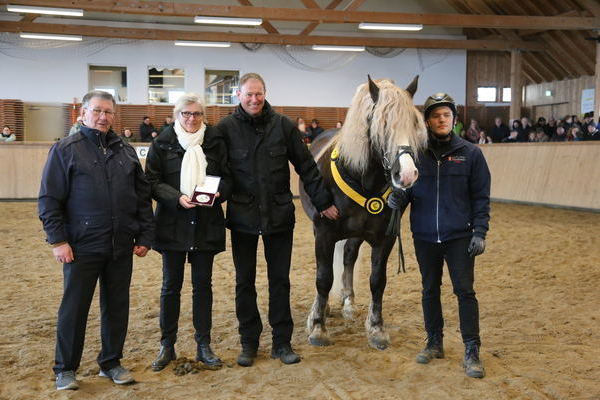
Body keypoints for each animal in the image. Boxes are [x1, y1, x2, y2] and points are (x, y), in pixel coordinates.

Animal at [300, 76, 426, 350]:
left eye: (414, 123)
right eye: (383, 123)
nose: (407, 174)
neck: (362, 178)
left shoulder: (385, 239)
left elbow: (377, 281)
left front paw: (377, 328)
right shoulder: (323, 232)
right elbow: (323, 277)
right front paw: (318, 327)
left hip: (356, 234)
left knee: (348, 256)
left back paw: (348, 302)